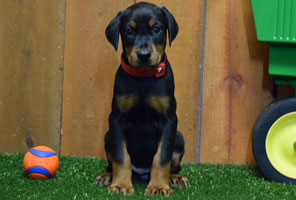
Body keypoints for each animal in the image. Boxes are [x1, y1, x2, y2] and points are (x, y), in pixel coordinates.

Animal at [97, 1, 190, 197]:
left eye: (157, 29)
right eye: (129, 31)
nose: (144, 54)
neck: (144, 77)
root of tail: (141, 173)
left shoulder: (169, 120)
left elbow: (162, 157)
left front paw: (159, 187)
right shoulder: (117, 120)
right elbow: (121, 156)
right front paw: (121, 185)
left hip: (179, 138)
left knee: (174, 165)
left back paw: (175, 178)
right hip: (108, 136)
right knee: (112, 162)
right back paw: (107, 176)